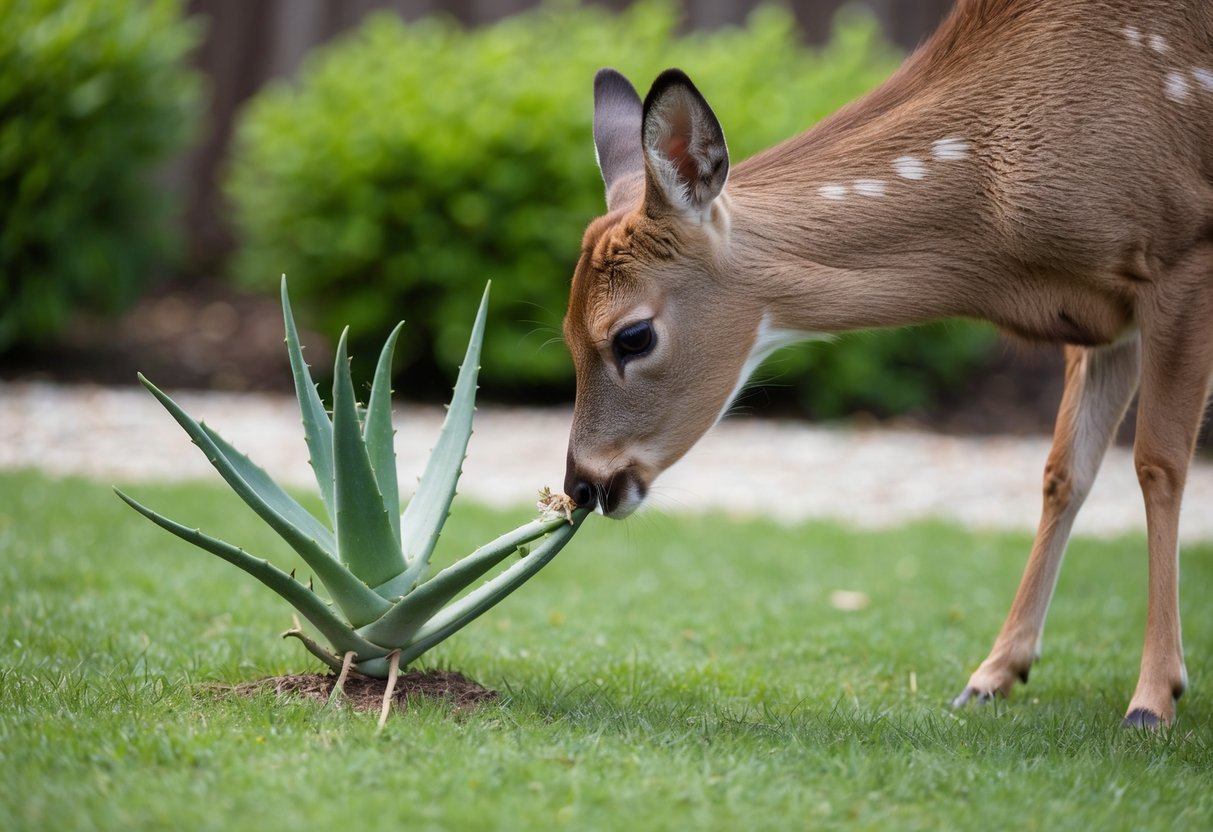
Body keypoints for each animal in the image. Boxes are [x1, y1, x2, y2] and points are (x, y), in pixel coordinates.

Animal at [557, 0, 1213, 727]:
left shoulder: (1183, 255)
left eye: (633, 336)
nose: (583, 484)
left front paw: (1153, 698)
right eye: (564, 332)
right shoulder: (1103, 320)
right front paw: (992, 675)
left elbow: (1158, 465)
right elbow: (1063, 470)